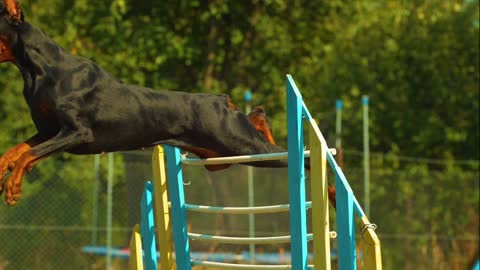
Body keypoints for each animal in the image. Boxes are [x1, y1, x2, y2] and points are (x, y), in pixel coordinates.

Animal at [0, 0, 336, 207]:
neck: (39, 69)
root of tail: (221, 100)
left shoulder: (77, 132)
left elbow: (28, 155)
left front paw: (13, 189)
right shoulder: (48, 131)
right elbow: (16, 152)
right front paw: (6, 173)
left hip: (244, 146)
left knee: (302, 160)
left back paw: (332, 194)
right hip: (224, 155)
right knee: (258, 117)